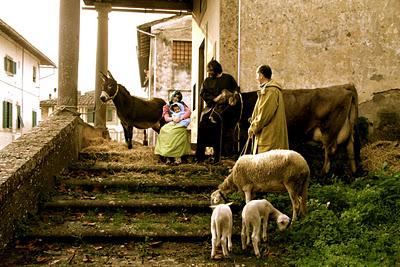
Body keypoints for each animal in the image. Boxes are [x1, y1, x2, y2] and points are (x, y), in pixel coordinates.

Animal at [220, 84, 360, 176]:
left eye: (221, 104)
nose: (214, 117)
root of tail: (344, 86)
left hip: (329, 128)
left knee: (330, 150)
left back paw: (322, 174)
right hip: (347, 127)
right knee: (350, 147)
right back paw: (353, 173)